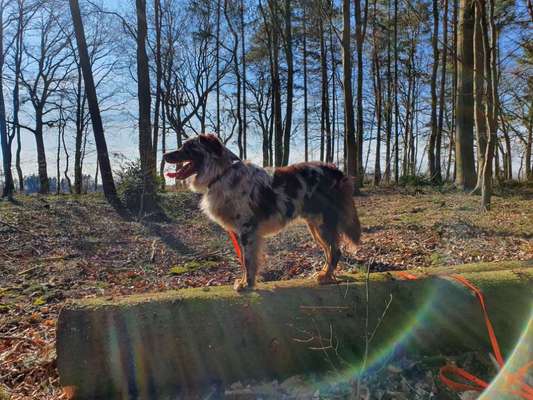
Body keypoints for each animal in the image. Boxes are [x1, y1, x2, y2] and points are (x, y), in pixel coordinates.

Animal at [163, 134, 362, 290]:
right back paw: (324, 274)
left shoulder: (247, 229)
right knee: (329, 251)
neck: (222, 174)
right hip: (315, 225)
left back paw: (326, 276)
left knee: (335, 251)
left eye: (188, 147)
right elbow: (245, 261)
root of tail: (336, 171)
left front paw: (247, 284)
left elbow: (248, 261)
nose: (164, 154)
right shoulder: (242, 232)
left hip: (323, 223)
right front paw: (246, 281)